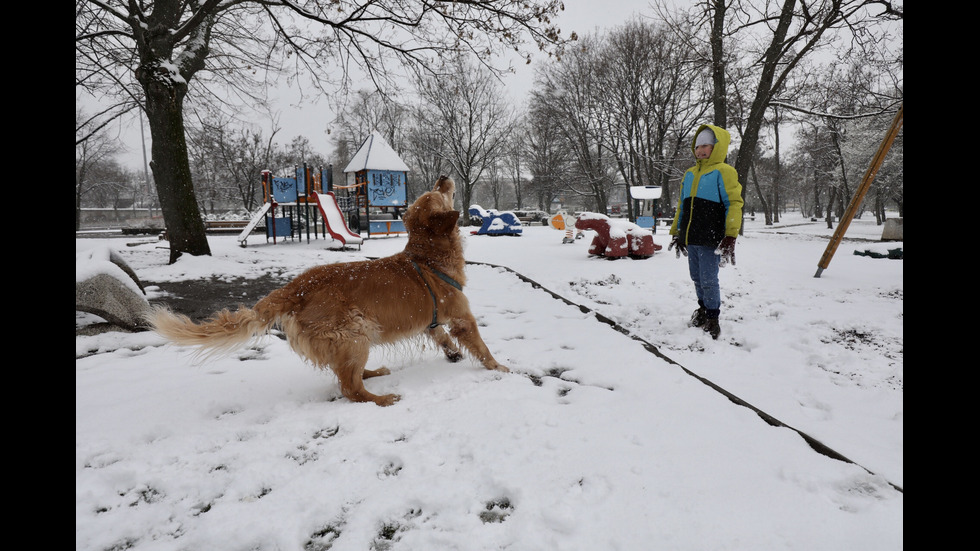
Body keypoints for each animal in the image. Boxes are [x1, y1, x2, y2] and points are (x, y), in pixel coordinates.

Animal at [151, 177, 512, 406]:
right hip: (354, 334)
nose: (443, 176)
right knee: (351, 389)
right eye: (438, 191)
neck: (427, 255)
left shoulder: (433, 321)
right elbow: (481, 347)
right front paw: (500, 368)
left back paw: (374, 373)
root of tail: (295, 287)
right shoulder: (463, 317)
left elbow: (442, 336)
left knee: (350, 377)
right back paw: (383, 398)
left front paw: (453, 354)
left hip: (354, 339)